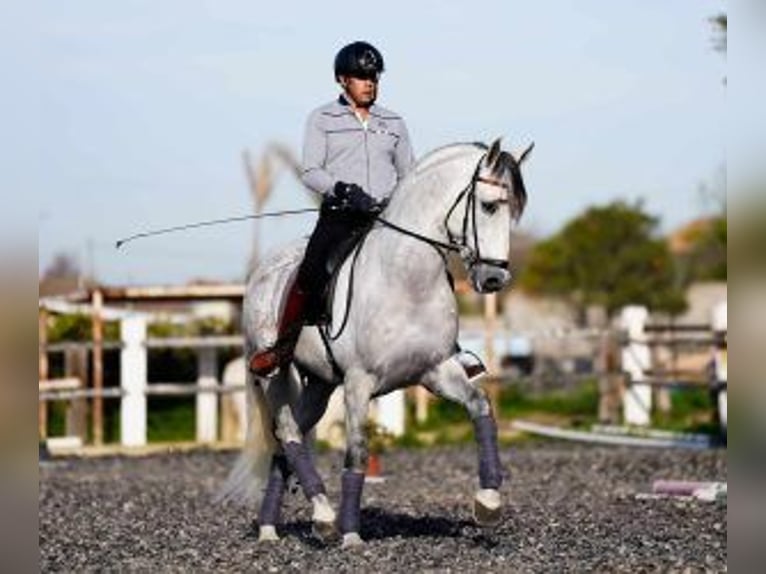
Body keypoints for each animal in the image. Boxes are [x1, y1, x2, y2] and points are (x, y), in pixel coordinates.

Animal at [220, 138, 536, 548]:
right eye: (488, 205)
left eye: (513, 211)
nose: (495, 279)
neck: (407, 280)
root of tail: (261, 273)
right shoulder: (359, 382)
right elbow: (357, 453)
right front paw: (352, 535)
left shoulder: (436, 370)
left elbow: (481, 408)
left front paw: (488, 504)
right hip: (275, 375)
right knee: (288, 431)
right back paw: (324, 517)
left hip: (320, 385)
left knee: (287, 441)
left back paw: (270, 528)